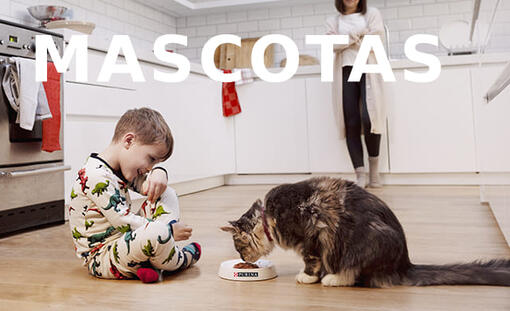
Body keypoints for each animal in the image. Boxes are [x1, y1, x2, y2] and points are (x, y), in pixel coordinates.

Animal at [222, 177, 510, 288]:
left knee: (352, 275)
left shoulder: (311, 237)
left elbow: (311, 262)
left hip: (362, 244)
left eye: (239, 247)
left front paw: (307, 277)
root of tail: (405, 264)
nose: (244, 260)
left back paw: (332, 279)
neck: (267, 217)